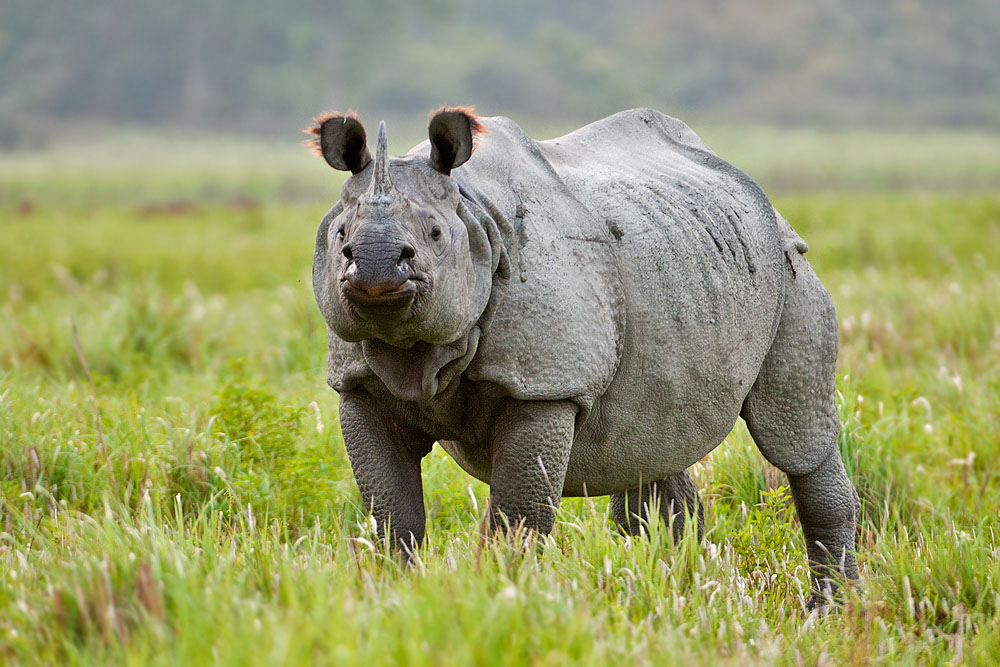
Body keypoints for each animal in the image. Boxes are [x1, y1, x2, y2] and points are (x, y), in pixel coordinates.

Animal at [308, 106, 860, 604]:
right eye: (340, 237)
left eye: (436, 236)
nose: (375, 268)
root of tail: (752, 188)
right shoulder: (359, 385)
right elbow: (390, 515)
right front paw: (390, 595)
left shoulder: (544, 387)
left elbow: (519, 516)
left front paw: (502, 595)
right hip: (684, 257)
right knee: (651, 446)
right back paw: (680, 597)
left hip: (788, 267)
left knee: (794, 437)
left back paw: (831, 609)